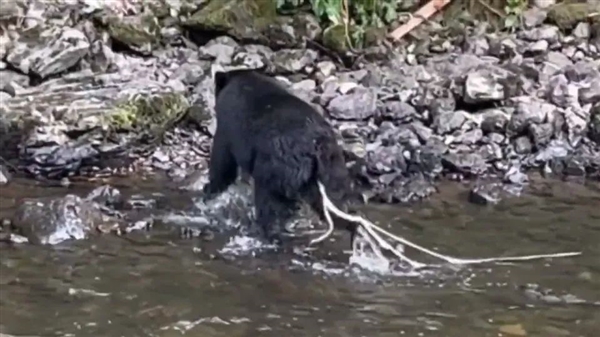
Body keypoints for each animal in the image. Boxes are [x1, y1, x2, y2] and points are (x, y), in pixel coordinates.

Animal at [204, 68, 356, 245]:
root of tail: (315, 145)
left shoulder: (228, 126)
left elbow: (222, 159)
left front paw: (209, 190)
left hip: (277, 166)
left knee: (269, 201)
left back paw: (264, 231)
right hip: (333, 166)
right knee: (338, 200)